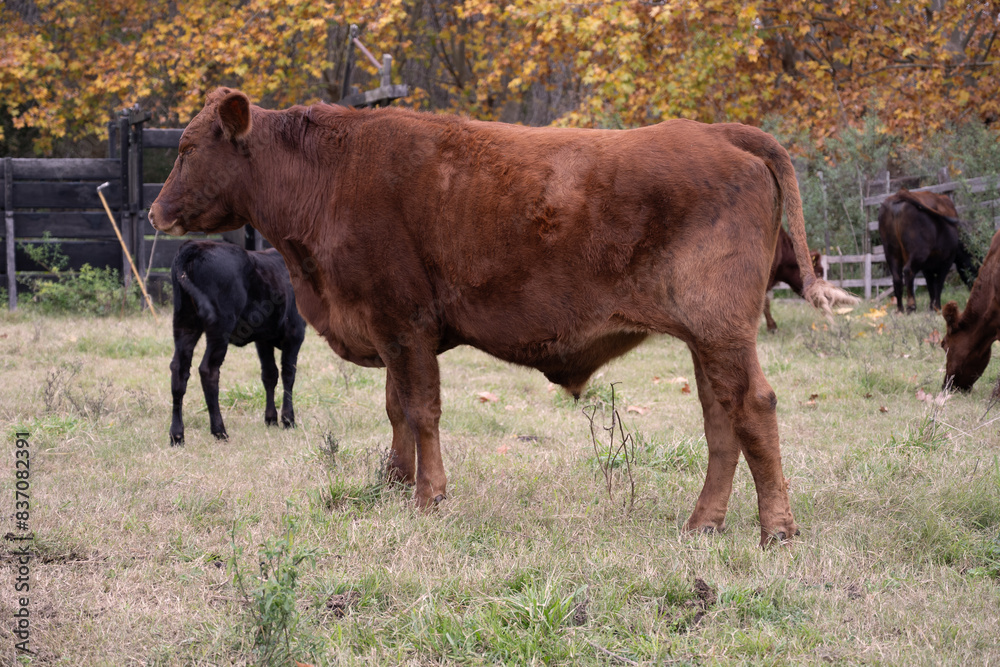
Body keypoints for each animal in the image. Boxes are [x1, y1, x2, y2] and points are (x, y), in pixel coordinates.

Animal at [169, 240, 306, 445]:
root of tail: (195, 245)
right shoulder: (295, 332)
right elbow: (288, 374)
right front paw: (288, 420)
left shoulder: (263, 339)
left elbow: (269, 375)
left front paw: (271, 419)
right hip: (219, 326)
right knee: (208, 371)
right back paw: (220, 431)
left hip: (184, 322)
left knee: (179, 370)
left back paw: (177, 435)